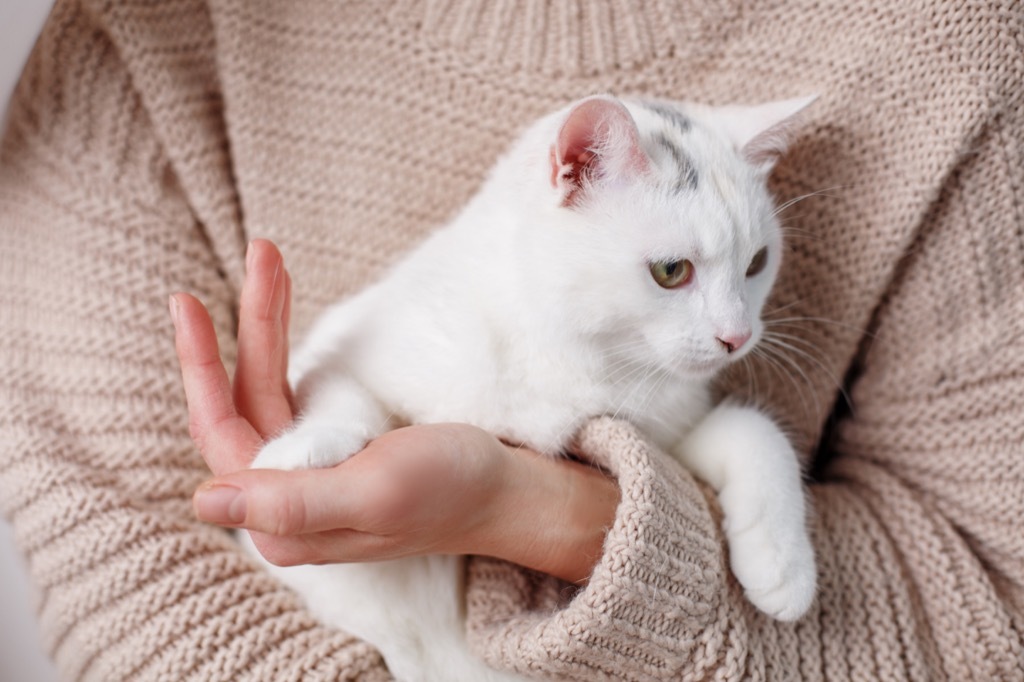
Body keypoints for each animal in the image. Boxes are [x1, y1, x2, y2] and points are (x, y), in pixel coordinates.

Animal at [247, 93, 815, 675]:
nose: (738, 336)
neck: (575, 353)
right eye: (671, 271)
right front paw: (301, 447)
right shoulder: (352, 345)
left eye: (757, 263)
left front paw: (784, 567)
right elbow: (343, 394)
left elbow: (752, 430)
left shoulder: (659, 428)